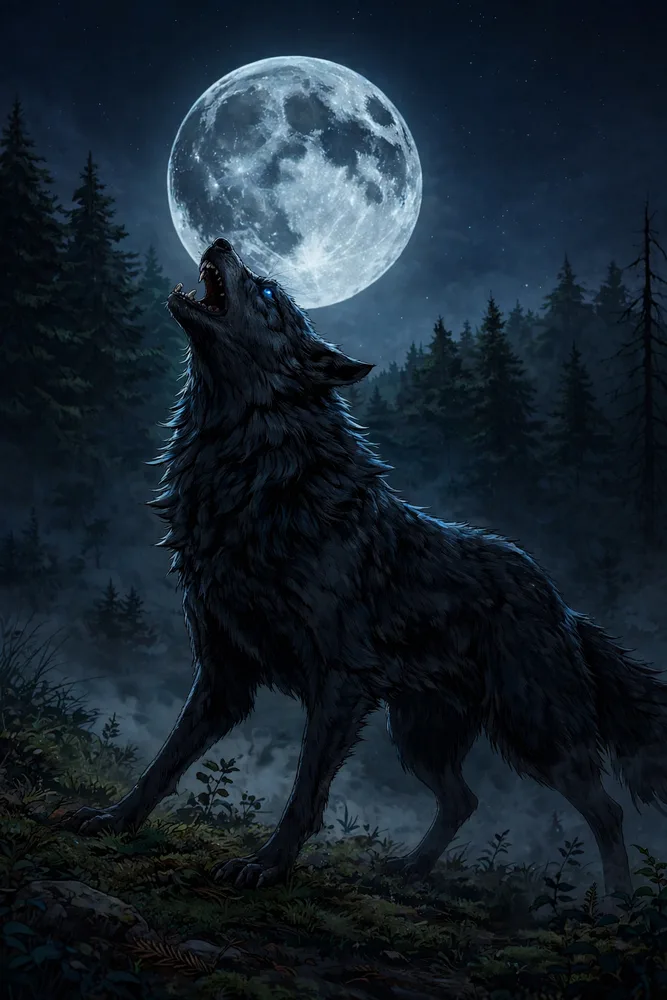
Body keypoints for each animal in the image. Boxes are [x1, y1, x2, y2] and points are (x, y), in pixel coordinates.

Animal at [64, 237, 667, 894]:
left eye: (268, 291)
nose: (221, 241)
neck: (252, 474)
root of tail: (565, 605)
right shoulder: (224, 673)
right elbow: (165, 760)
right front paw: (116, 820)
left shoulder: (339, 680)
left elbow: (305, 791)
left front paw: (266, 865)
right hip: (420, 733)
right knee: (465, 800)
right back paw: (410, 870)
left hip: (532, 730)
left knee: (604, 809)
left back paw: (617, 903)